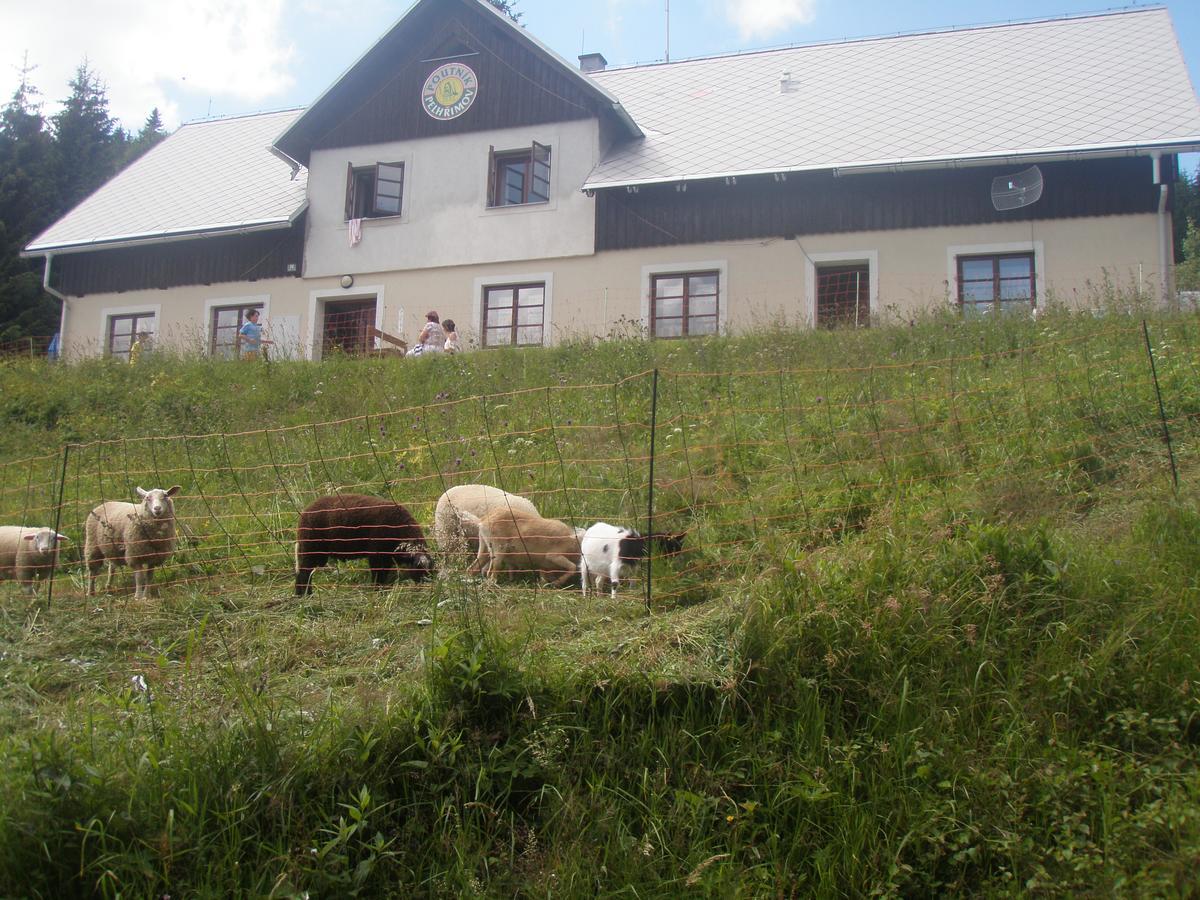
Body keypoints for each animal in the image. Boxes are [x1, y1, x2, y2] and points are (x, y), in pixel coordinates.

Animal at [294, 494, 434, 600]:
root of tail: (305, 512)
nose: (428, 589)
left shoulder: (387, 557)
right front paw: (377, 591)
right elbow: (378, 575)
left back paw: (300, 595)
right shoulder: (376, 554)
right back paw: (306, 596)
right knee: (304, 573)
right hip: (311, 548)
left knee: (302, 572)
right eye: (418, 568)